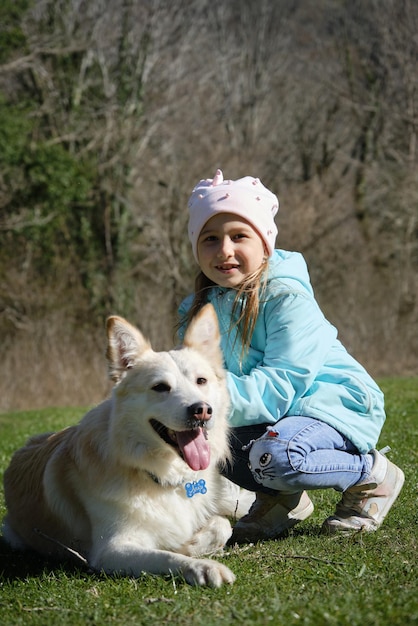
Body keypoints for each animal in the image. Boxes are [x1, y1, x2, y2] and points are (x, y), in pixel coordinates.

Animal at [3, 304, 251, 584]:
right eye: (160, 387)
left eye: (201, 381)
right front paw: (201, 565)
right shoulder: (111, 550)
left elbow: (222, 525)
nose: (202, 411)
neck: (163, 475)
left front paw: (194, 544)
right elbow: (167, 557)